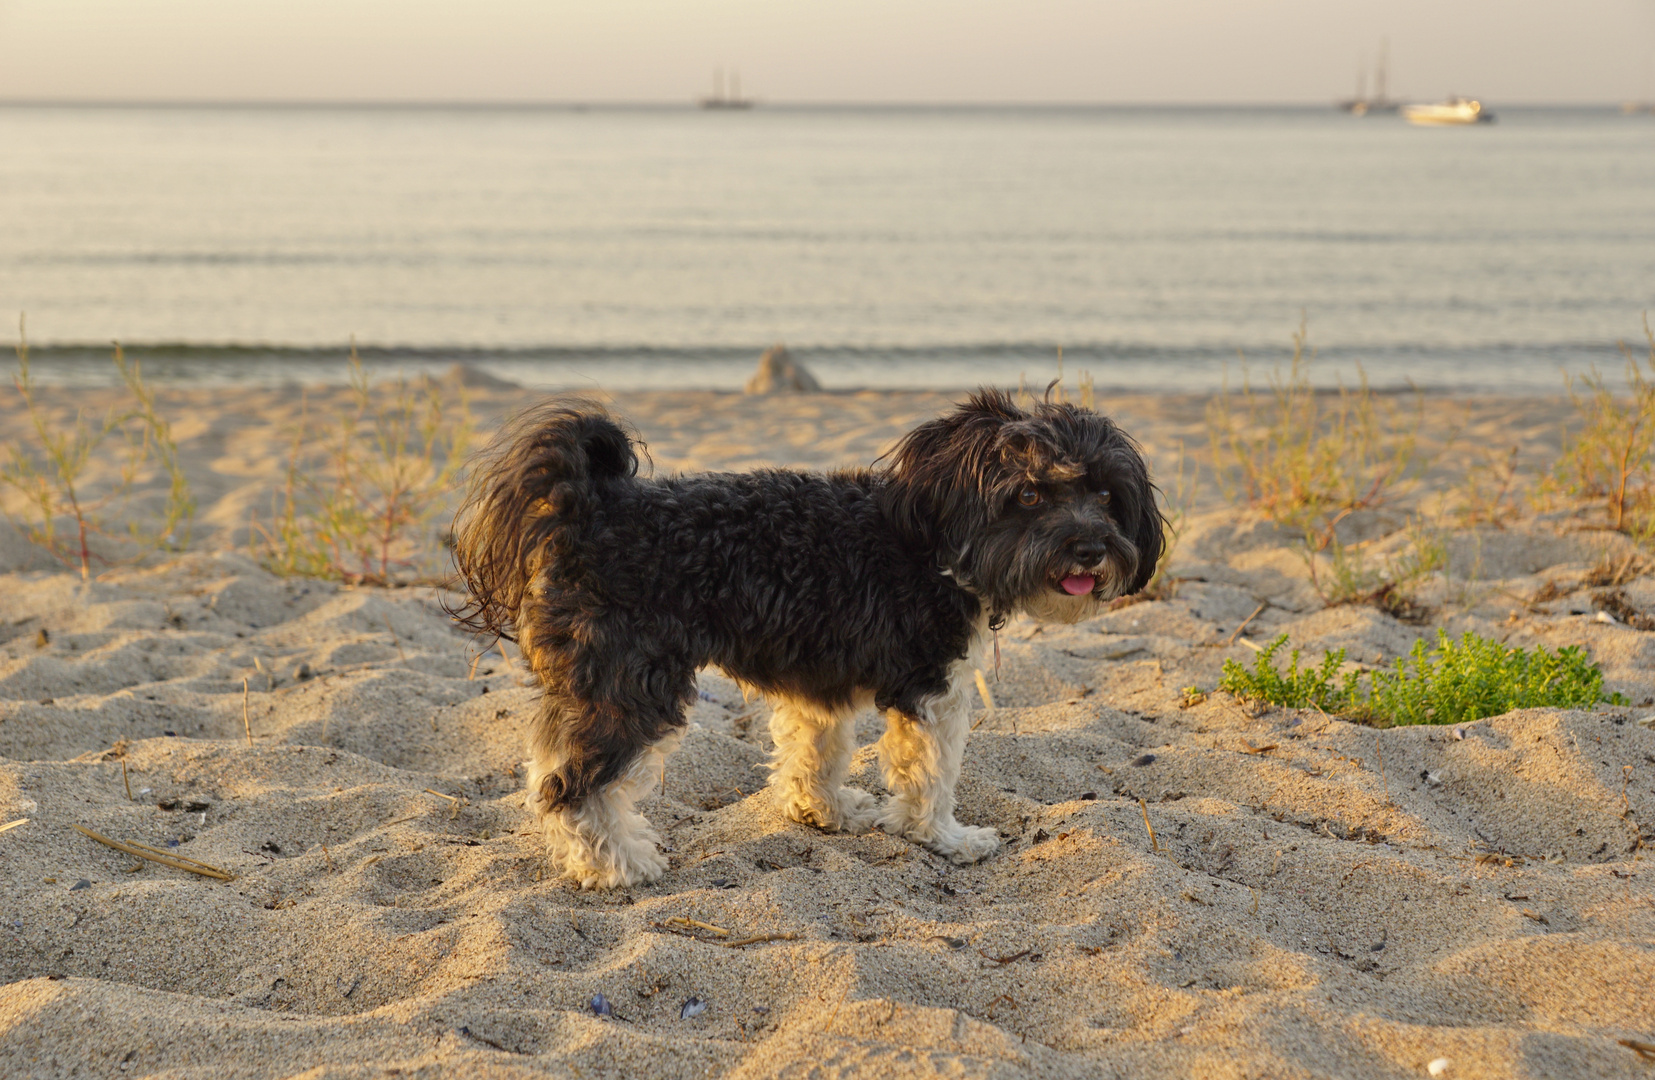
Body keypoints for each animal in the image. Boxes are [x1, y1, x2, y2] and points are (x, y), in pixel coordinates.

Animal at [446, 387, 1158, 886]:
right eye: (1030, 495)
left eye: (1104, 494)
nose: (1091, 550)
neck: (934, 536)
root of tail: (591, 508)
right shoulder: (933, 688)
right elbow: (931, 774)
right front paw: (946, 840)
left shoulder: (817, 678)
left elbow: (816, 751)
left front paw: (824, 811)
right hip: (632, 682)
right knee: (572, 784)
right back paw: (616, 865)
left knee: (545, 766)